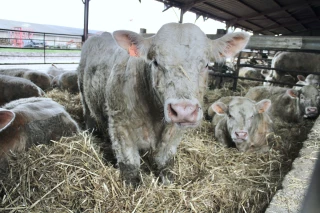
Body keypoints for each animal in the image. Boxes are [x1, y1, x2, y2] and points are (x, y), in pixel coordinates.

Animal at [78, 23, 250, 186]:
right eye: (155, 62)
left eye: (207, 64)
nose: (184, 111)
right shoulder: (120, 126)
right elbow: (130, 167)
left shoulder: (173, 133)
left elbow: (165, 164)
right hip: (84, 94)